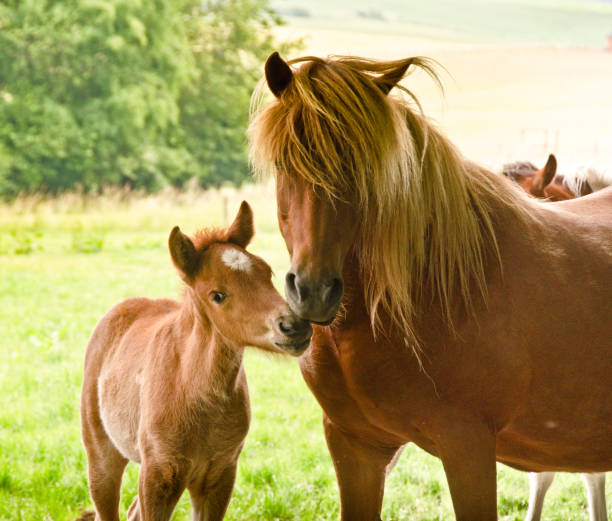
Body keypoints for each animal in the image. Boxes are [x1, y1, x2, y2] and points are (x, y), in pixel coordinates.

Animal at [79, 201, 314, 520]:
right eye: (217, 295)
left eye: (266, 273)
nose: (294, 327)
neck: (193, 390)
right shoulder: (159, 474)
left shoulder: (220, 475)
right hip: (102, 457)